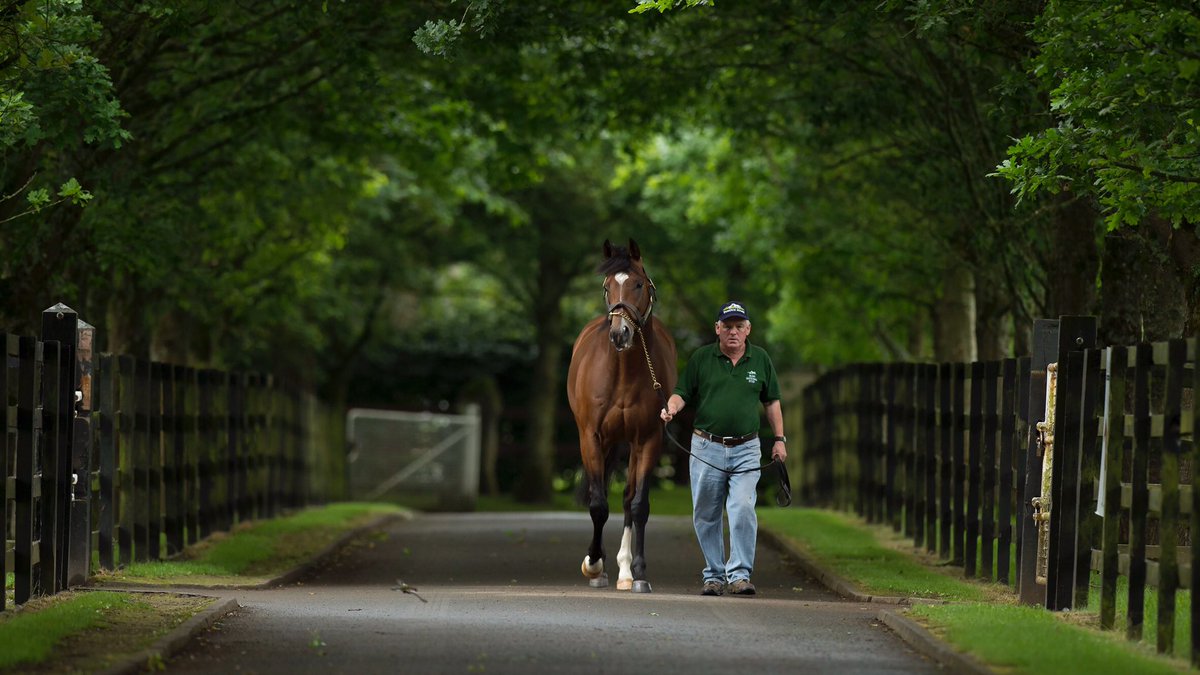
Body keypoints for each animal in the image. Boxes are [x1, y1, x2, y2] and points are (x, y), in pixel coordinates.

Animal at [564, 236, 676, 588]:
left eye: (639, 284)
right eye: (607, 286)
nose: (619, 334)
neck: (624, 373)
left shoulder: (649, 439)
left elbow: (637, 504)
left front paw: (638, 571)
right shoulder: (591, 437)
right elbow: (598, 504)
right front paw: (593, 564)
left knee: (627, 499)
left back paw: (625, 571)